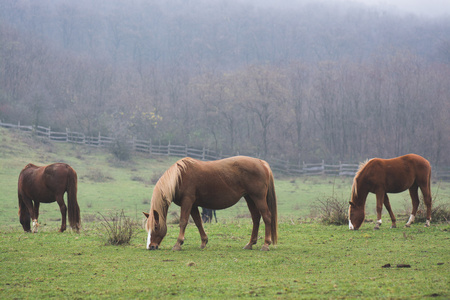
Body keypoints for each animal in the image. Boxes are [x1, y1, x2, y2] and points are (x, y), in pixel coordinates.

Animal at [144, 156, 278, 252]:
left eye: (156, 227)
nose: (151, 246)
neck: (179, 177)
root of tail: (262, 163)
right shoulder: (193, 205)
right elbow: (198, 222)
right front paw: (204, 242)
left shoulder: (187, 201)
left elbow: (183, 221)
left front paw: (178, 244)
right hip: (249, 198)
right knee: (256, 218)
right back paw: (250, 244)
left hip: (258, 198)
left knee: (267, 217)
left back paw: (266, 244)